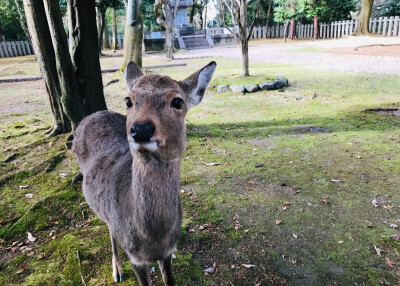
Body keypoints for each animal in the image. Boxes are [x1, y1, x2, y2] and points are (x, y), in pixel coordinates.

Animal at [72, 61, 216, 286]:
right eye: (128, 100)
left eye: (177, 101)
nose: (141, 129)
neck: (153, 239)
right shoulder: (136, 258)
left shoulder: (169, 251)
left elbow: (169, 279)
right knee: (111, 230)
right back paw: (117, 271)